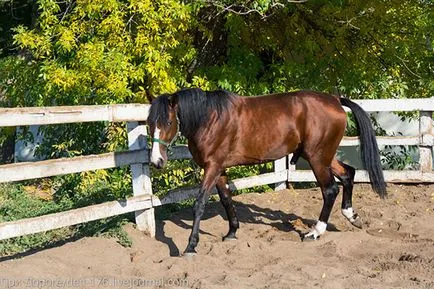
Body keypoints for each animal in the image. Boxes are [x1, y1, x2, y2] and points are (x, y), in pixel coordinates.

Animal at [147, 88, 386, 254]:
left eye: (168, 122)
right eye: (149, 123)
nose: (157, 161)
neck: (211, 119)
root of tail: (335, 100)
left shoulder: (212, 167)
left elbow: (199, 205)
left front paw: (191, 246)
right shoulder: (220, 168)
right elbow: (226, 199)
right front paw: (232, 232)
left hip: (318, 159)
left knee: (330, 190)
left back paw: (315, 232)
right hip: (322, 156)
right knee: (347, 174)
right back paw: (352, 216)